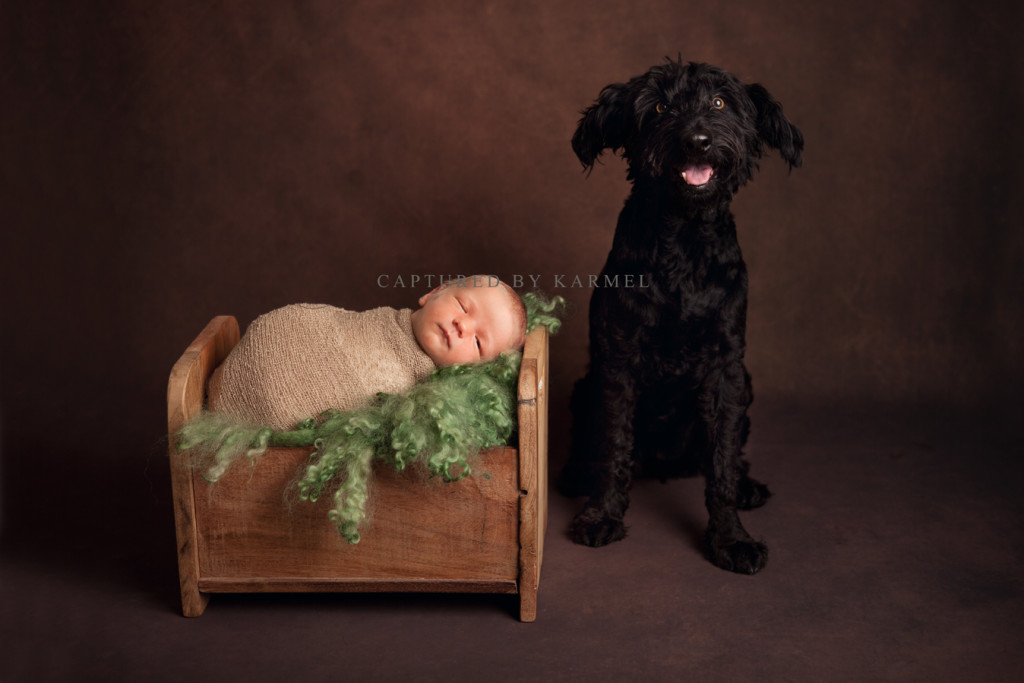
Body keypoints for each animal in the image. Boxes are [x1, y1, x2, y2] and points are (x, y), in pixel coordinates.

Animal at [561, 58, 798, 573]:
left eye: (720, 102)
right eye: (659, 107)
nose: (697, 140)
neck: (684, 243)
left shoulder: (726, 369)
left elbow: (722, 463)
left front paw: (731, 538)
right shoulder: (617, 361)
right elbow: (613, 444)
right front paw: (601, 515)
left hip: (746, 386)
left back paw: (747, 484)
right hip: (584, 387)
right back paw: (574, 475)